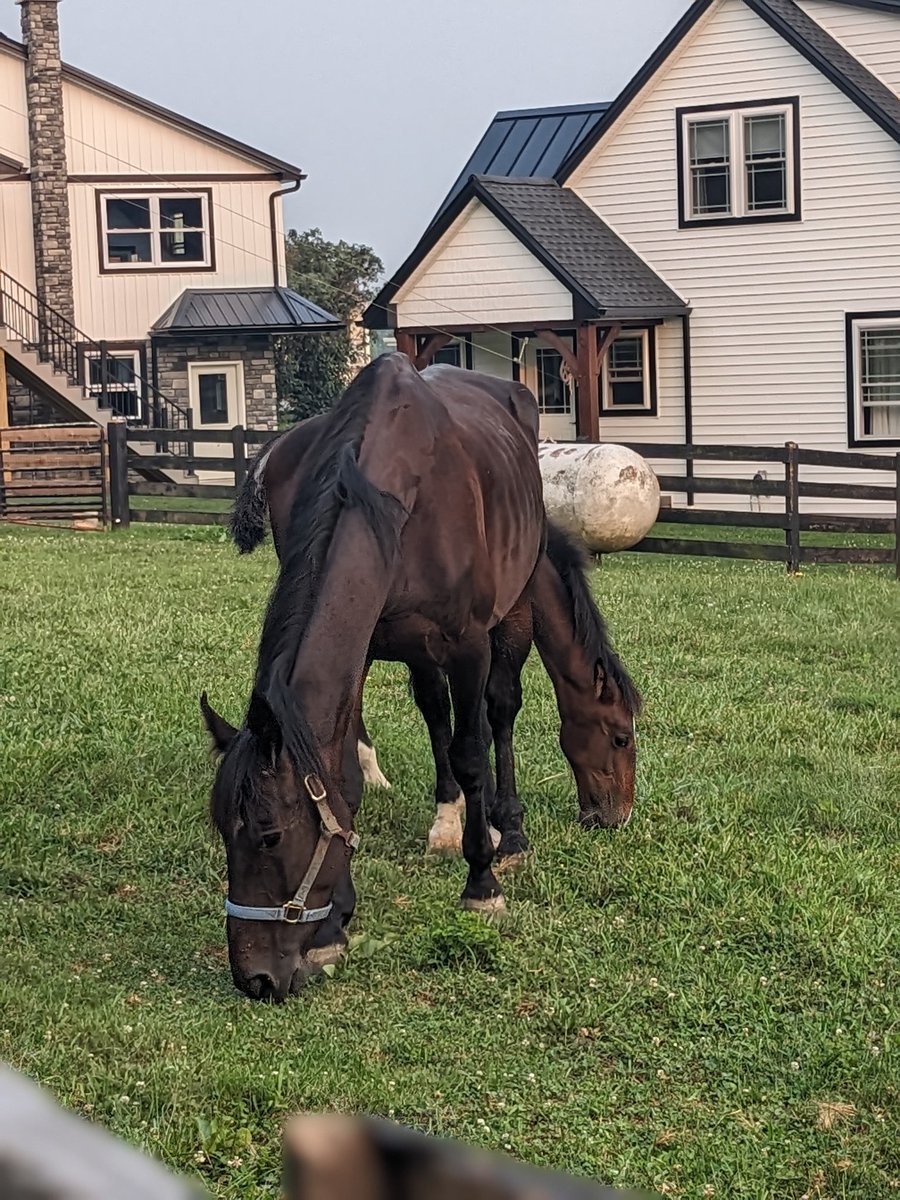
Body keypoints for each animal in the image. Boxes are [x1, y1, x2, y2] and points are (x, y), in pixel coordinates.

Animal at [201, 355, 547, 1003]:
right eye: (221, 833)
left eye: (268, 836)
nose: (254, 978)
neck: (392, 493)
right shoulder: (364, 648)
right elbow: (348, 780)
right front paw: (334, 925)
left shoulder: (467, 644)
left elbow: (472, 751)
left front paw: (482, 884)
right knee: (437, 713)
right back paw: (450, 820)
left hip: (513, 608)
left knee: (498, 714)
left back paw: (505, 832)